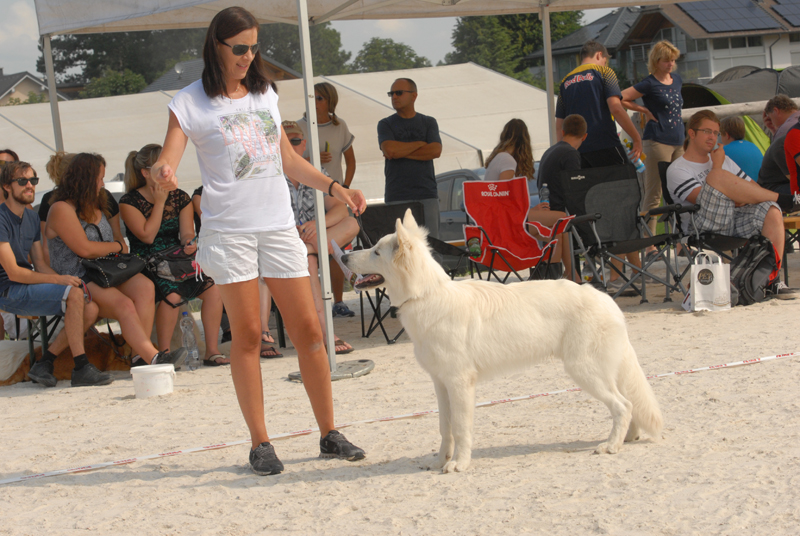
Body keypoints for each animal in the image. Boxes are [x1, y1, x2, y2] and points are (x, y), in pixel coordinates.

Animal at [344, 209, 664, 474]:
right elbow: (445, 427)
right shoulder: (441, 384)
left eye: (375, 252)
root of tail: (607, 300)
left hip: (584, 371)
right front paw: (439, 461)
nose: (345, 257)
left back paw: (611, 445)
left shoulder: (460, 384)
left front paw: (459, 464)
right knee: (629, 404)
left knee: (623, 405)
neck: (428, 295)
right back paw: (628, 437)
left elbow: (460, 428)